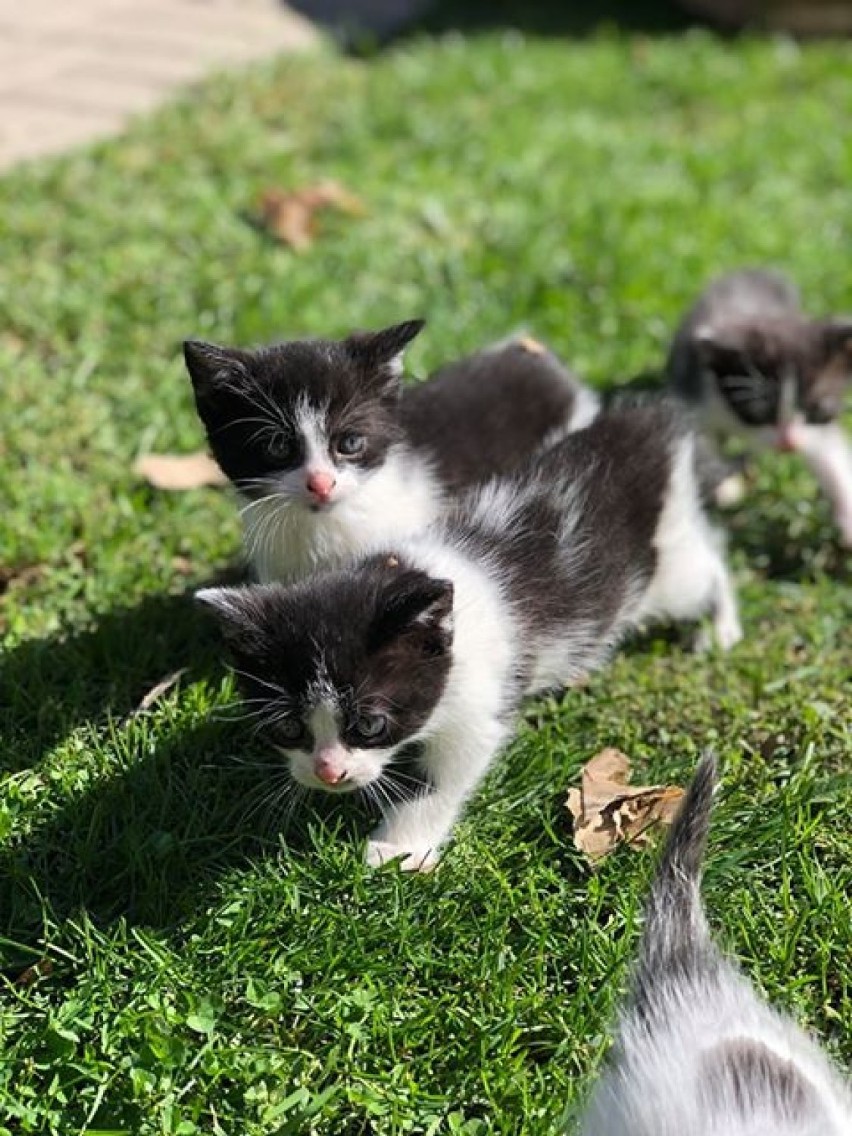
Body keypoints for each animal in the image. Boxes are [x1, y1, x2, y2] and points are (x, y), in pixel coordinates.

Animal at [196, 399, 745, 867]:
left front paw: (398, 849)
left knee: (708, 569)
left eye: (370, 725)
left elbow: (444, 777)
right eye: (289, 728)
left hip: (667, 574)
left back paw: (721, 629)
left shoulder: (480, 705)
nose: (329, 772)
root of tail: (646, 424)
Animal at [667, 270, 852, 545]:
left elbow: (830, 452)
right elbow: (696, 443)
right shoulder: (694, 391)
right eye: (759, 411)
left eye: (817, 409)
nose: (788, 444)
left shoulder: (815, 428)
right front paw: (725, 486)